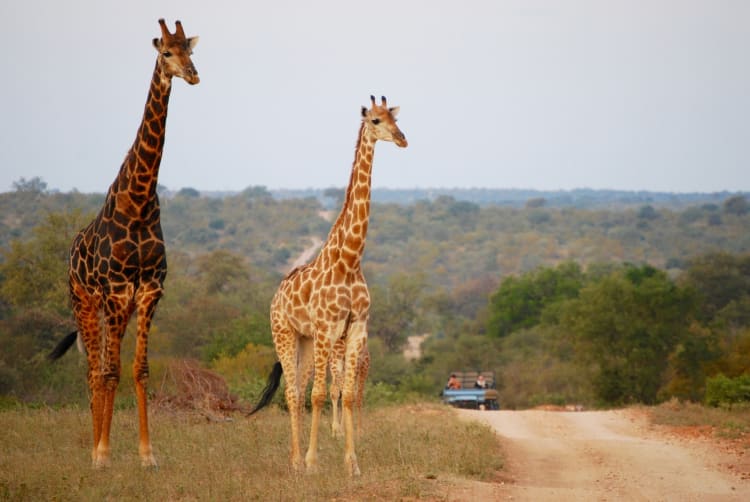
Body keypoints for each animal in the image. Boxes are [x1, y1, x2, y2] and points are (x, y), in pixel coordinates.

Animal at [46, 17, 200, 468]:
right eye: (165, 52)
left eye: (190, 50)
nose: (192, 75)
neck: (139, 200)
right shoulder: (114, 291)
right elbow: (110, 371)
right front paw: (102, 453)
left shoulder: (148, 291)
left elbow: (139, 369)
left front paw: (147, 455)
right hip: (84, 301)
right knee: (94, 369)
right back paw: (95, 446)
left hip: (118, 307)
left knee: (102, 364)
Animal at [250, 95, 408, 474]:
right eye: (376, 121)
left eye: (395, 119)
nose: (402, 139)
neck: (349, 260)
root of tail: (276, 296)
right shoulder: (327, 329)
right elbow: (319, 394)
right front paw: (313, 461)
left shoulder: (356, 328)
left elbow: (347, 394)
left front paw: (352, 463)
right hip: (284, 334)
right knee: (294, 392)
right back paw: (296, 460)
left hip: (306, 341)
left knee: (299, 389)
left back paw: (296, 458)